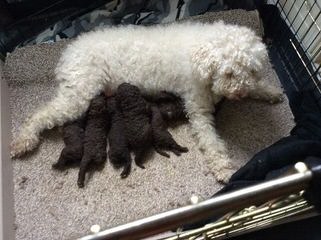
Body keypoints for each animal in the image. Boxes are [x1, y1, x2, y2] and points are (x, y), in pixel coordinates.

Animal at [10, 21, 282, 182]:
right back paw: (23, 141)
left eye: (251, 71)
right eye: (229, 73)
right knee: (39, 115)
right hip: (79, 95)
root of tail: (68, 52)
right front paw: (224, 168)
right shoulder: (198, 108)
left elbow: (260, 88)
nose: (240, 94)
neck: (201, 58)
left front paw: (270, 91)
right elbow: (211, 142)